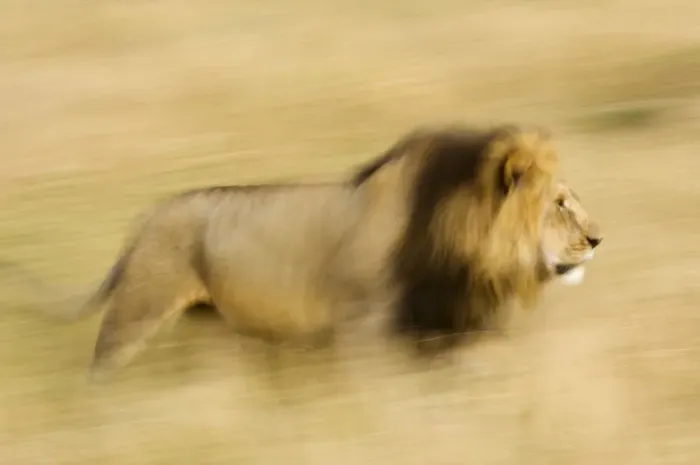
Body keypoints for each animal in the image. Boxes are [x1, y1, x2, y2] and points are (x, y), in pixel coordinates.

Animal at [74, 124, 602, 378]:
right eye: (559, 203)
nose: (598, 239)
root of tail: (143, 222)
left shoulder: (451, 325)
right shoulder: (366, 328)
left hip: (213, 326)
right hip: (137, 312)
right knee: (100, 372)